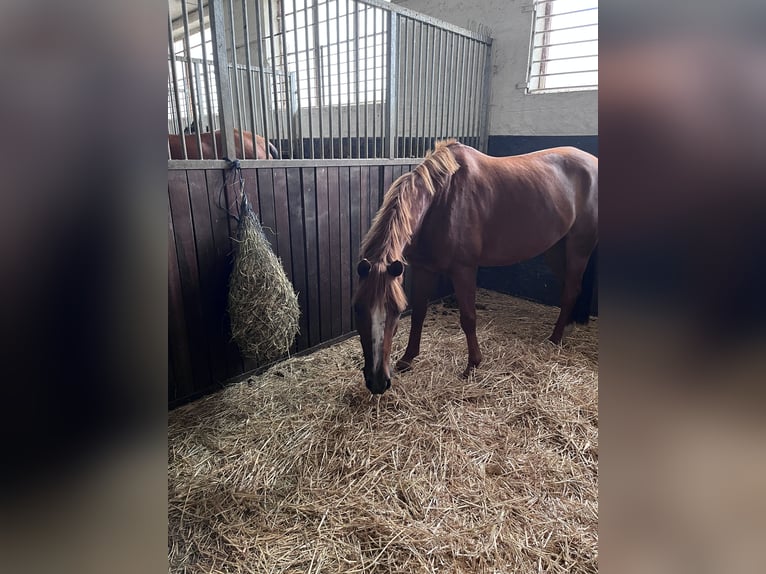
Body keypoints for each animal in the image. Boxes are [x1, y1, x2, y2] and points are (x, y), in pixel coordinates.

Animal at [354, 142, 600, 398]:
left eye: (395, 311)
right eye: (357, 308)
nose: (377, 382)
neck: (441, 199)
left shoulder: (464, 270)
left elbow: (468, 317)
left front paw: (473, 364)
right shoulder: (423, 268)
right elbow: (419, 314)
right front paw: (407, 359)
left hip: (578, 248)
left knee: (571, 290)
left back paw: (555, 338)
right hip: (556, 249)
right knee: (570, 288)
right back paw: (568, 327)